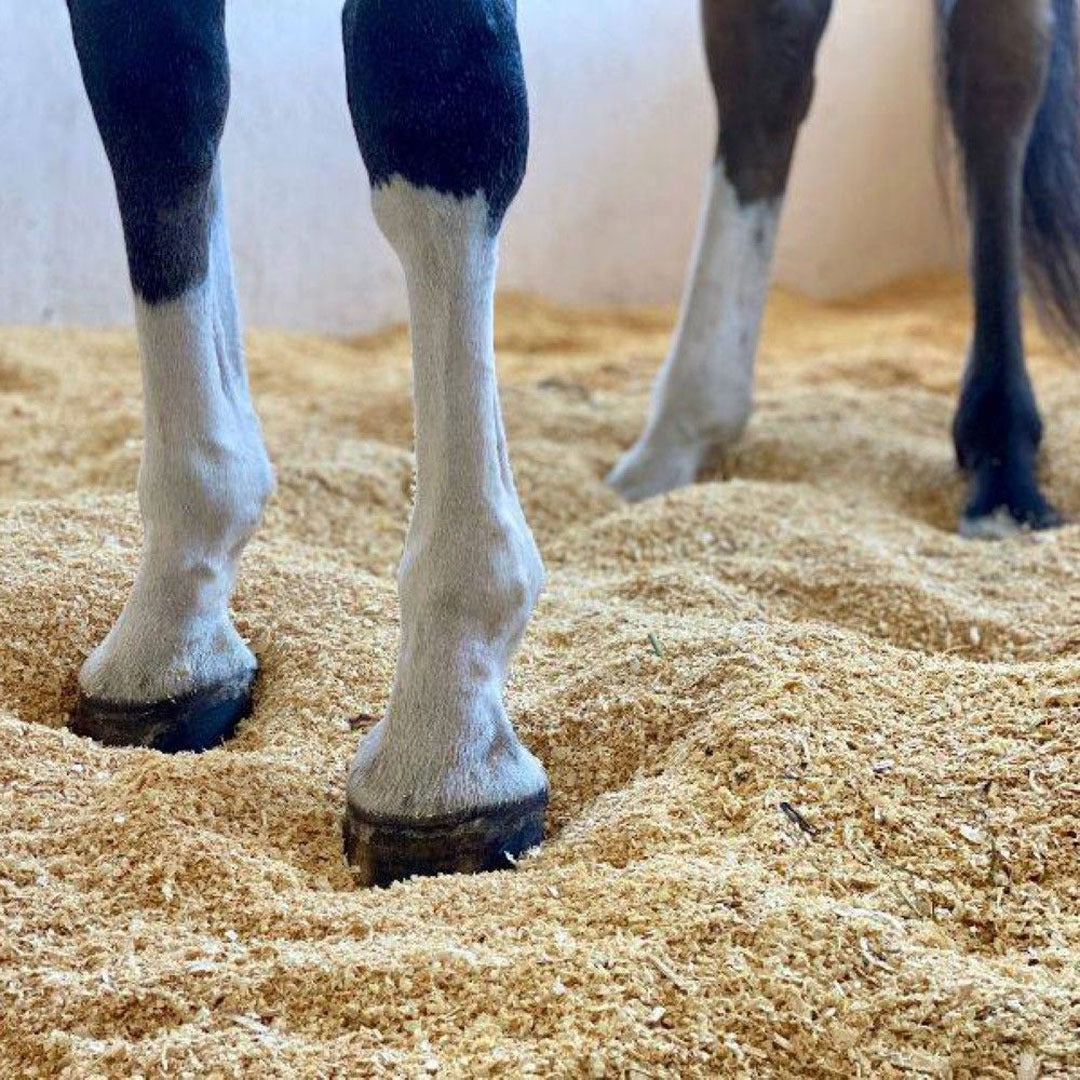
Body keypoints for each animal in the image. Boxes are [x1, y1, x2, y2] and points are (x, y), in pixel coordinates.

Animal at [60, 0, 1080, 886]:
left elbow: (435, 98)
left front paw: (447, 735)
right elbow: (155, 96)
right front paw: (170, 629)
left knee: (997, 75)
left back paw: (1000, 460)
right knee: (767, 52)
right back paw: (681, 435)